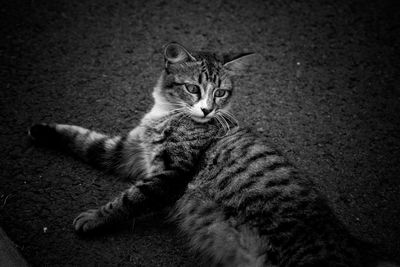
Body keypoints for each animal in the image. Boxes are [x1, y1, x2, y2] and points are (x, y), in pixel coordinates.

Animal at [28, 43, 396, 266]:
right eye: (193, 88)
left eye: (220, 93)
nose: (206, 110)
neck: (166, 114)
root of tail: (354, 245)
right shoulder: (128, 151)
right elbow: (85, 139)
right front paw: (42, 131)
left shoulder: (169, 176)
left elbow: (127, 200)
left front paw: (92, 218)